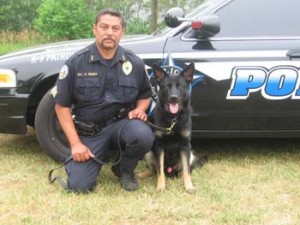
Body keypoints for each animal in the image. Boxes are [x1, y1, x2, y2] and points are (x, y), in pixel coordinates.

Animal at [142, 62, 204, 193]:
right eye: (167, 87)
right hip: (149, 153)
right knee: (154, 170)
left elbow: (186, 171)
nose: (173, 97)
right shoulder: (159, 145)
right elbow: (160, 171)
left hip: (190, 154)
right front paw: (160, 186)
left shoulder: (185, 145)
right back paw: (143, 174)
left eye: (180, 86)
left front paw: (189, 186)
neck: (173, 118)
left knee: (184, 171)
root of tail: (170, 171)